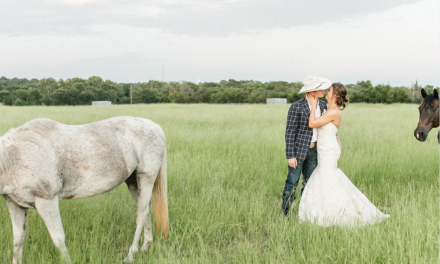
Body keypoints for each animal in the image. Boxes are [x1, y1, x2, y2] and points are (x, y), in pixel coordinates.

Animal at [0, 117, 168, 264]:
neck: (13, 159)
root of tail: (156, 127)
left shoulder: (47, 201)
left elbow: (58, 239)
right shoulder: (15, 205)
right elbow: (18, 240)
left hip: (146, 178)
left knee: (141, 214)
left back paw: (130, 255)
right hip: (134, 183)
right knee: (146, 209)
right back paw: (145, 246)